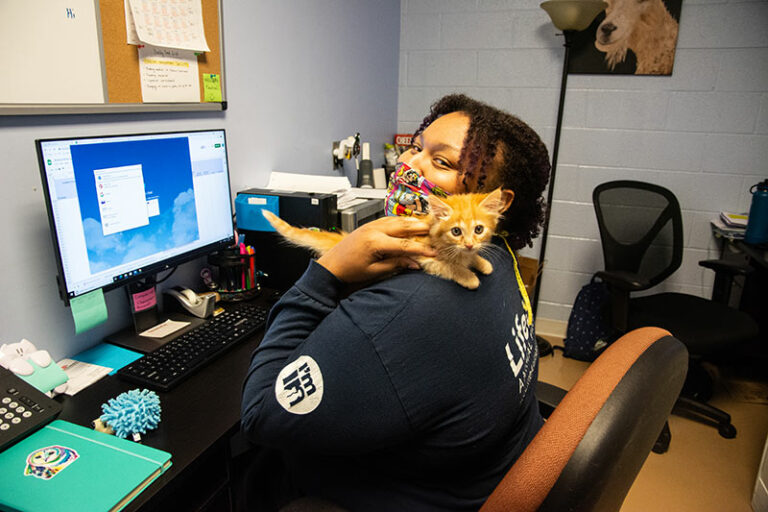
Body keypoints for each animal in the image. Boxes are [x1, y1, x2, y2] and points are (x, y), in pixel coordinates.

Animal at [260, 188, 512, 288]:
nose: (469, 244)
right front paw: (468, 276)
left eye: (478, 229)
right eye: (456, 232)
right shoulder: (423, 255)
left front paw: (481, 262)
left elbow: (470, 258)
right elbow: (448, 266)